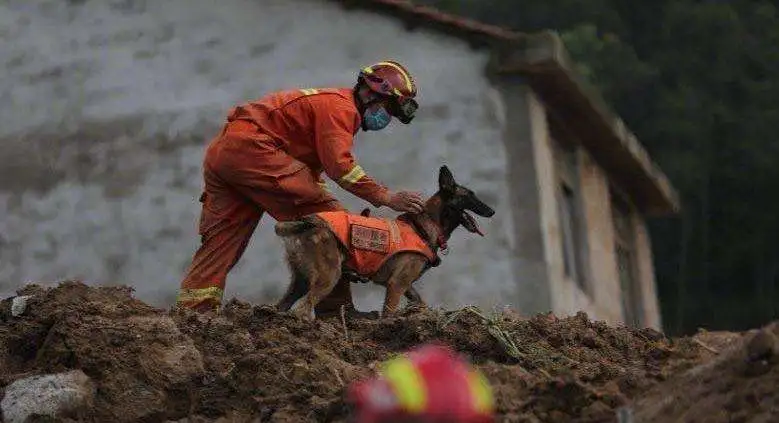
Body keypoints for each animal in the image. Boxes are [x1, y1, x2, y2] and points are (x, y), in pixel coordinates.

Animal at [272, 167, 494, 320]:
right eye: (470, 196)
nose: (492, 211)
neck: (425, 225)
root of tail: (306, 222)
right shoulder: (396, 285)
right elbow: (388, 313)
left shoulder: (406, 285)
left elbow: (421, 303)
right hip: (329, 276)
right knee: (302, 308)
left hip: (301, 280)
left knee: (283, 306)